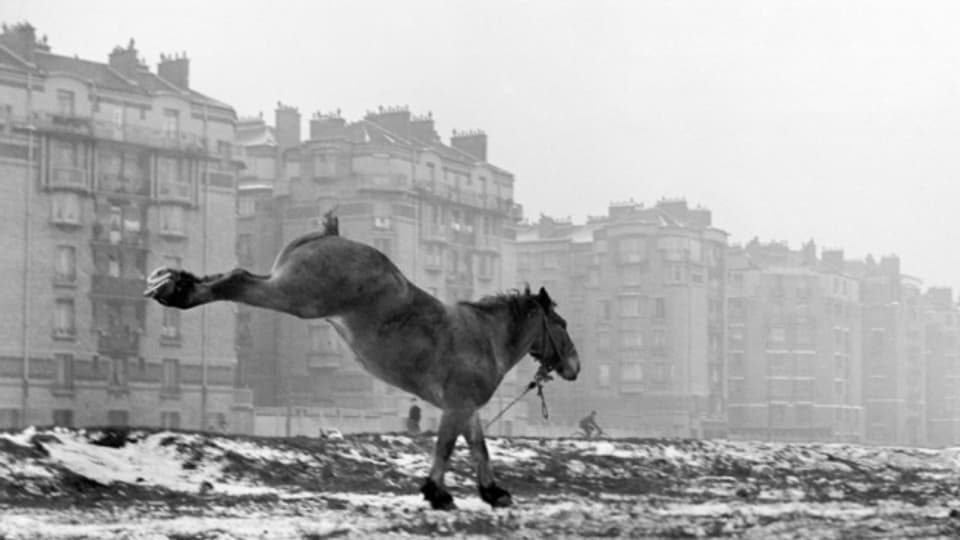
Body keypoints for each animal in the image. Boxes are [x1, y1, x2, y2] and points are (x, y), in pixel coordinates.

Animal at [142, 211, 576, 510]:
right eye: (561, 324)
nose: (575, 366)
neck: (483, 336)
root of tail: (329, 235)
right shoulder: (456, 405)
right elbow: (447, 447)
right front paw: (438, 493)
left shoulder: (465, 406)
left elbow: (478, 447)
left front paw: (492, 491)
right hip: (295, 297)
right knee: (236, 279)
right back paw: (174, 290)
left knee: (233, 277)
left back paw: (174, 283)